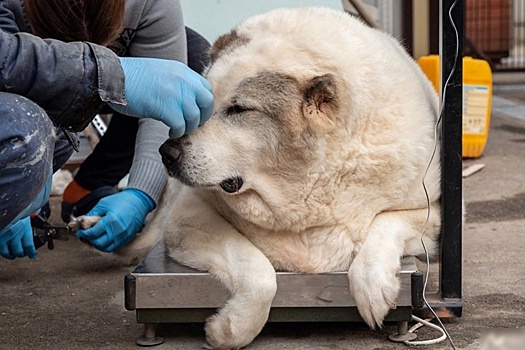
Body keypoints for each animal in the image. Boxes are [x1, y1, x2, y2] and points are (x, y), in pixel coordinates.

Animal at [125, 6, 440, 350]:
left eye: (238, 109)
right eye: (202, 104)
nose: (167, 152)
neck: (307, 185)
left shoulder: (431, 212)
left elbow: (385, 222)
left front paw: (373, 288)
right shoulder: (188, 217)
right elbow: (259, 274)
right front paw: (230, 329)